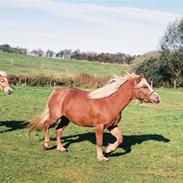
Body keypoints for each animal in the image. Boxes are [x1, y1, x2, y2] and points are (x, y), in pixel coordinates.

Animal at [28, 73, 160, 162]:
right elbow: (99, 142)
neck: (109, 102)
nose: (158, 99)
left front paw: (108, 150)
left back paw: (61, 148)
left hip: (66, 119)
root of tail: (56, 92)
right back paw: (46, 145)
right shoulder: (99, 126)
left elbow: (120, 138)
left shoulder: (112, 126)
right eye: (144, 86)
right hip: (55, 117)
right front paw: (102, 157)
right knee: (46, 125)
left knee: (58, 130)